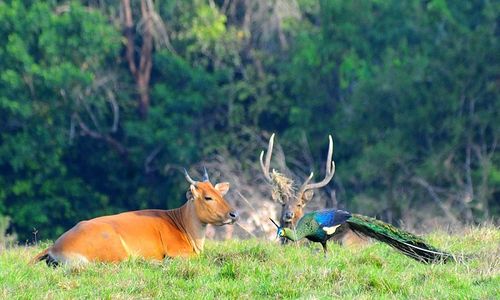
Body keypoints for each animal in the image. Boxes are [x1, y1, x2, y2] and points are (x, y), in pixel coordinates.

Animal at [32, 168, 239, 266]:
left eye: (220, 194)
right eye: (208, 197)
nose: (234, 214)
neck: (182, 225)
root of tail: (55, 247)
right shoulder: (179, 253)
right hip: (118, 252)